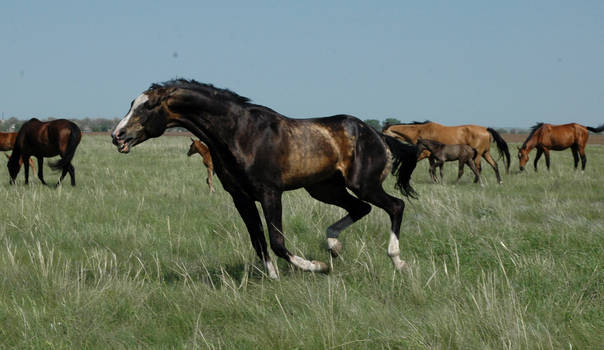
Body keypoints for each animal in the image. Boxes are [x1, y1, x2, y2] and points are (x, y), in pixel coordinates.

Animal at [111, 79, 418, 278]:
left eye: (148, 106)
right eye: (132, 104)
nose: (117, 136)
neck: (240, 134)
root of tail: (379, 135)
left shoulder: (270, 193)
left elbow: (277, 242)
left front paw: (316, 267)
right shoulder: (241, 198)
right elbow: (258, 241)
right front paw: (274, 278)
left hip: (363, 185)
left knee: (395, 206)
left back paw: (397, 262)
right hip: (324, 188)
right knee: (360, 208)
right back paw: (333, 246)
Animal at [382, 120, 510, 185]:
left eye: (383, 133)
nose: (382, 145)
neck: (420, 131)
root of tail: (486, 129)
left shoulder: (426, 154)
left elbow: (430, 168)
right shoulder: (431, 156)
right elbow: (434, 169)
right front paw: (436, 180)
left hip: (478, 154)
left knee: (478, 168)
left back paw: (477, 182)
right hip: (485, 153)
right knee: (494, 164)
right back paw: (499, 181)